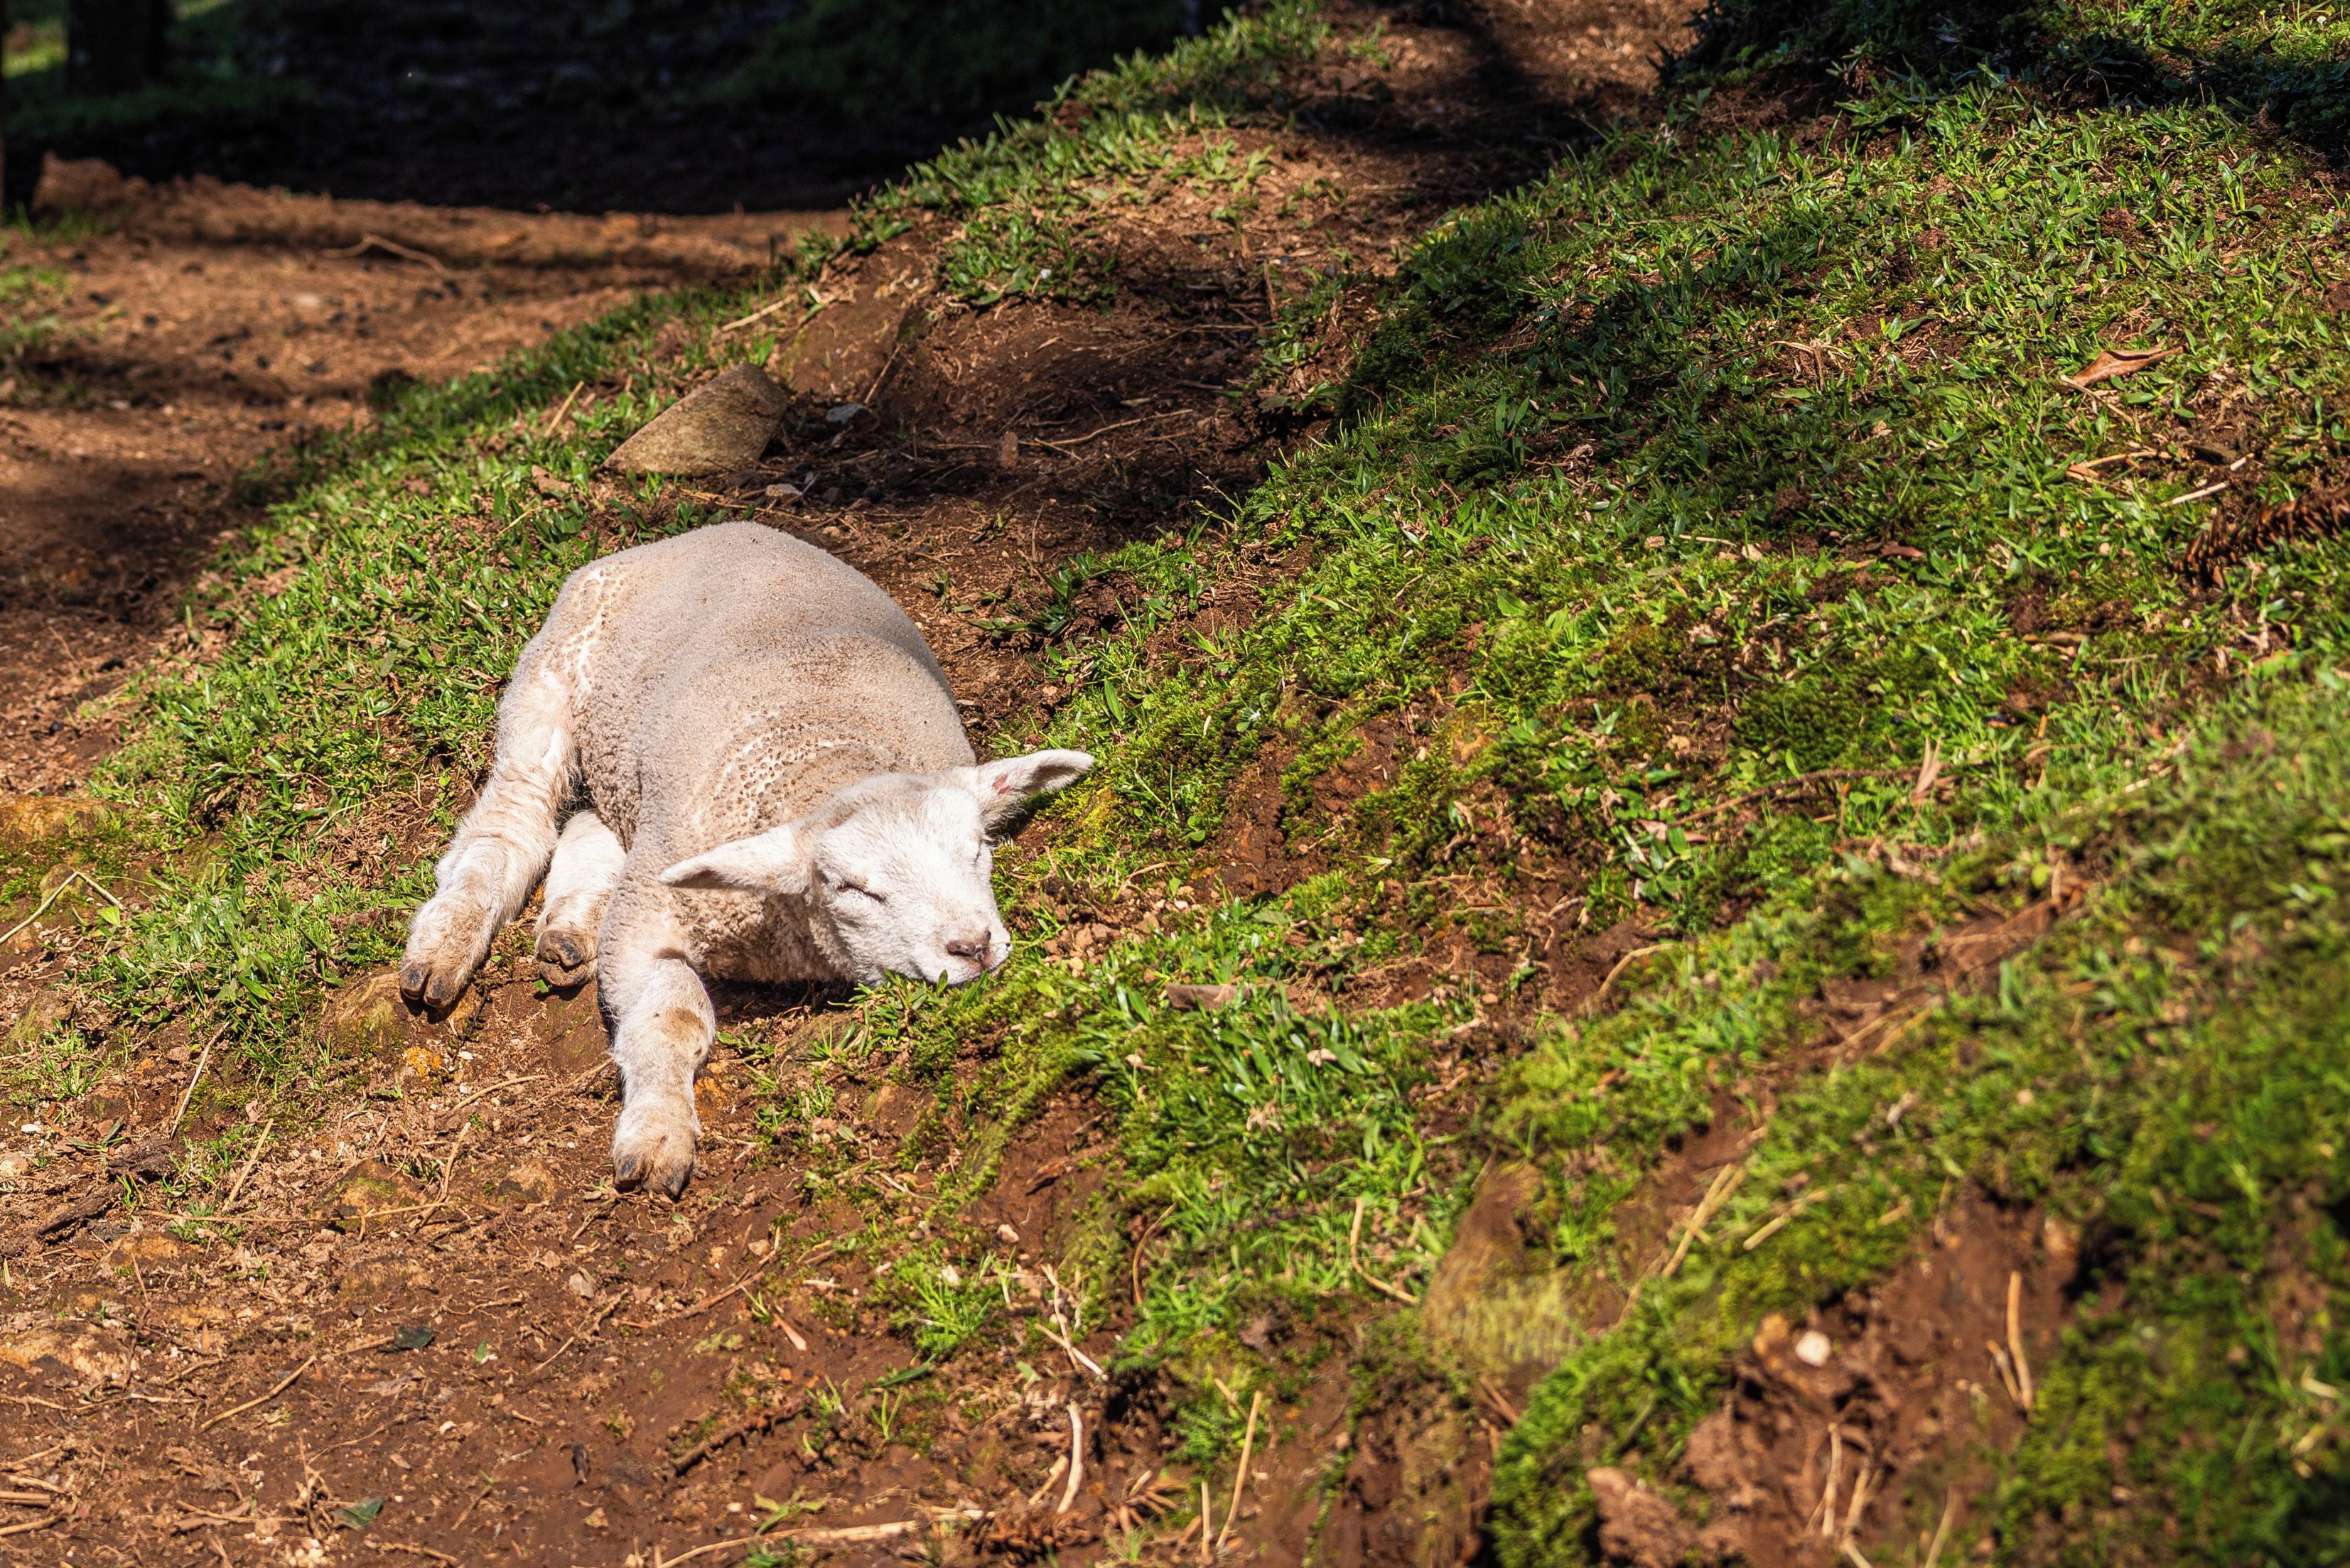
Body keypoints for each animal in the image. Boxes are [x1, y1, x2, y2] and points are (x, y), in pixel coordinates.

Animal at [399, 521, 1091, 1196]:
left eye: (978, 850)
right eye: (852, 888)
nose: (973, 947)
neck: (829, 763)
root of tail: (699, 531)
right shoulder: (648, 914)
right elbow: (672, 1018)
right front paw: (658, 1134)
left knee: (590, 823)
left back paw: (569, 930)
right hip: (553, 676)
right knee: (512, 818)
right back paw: (446, 944)